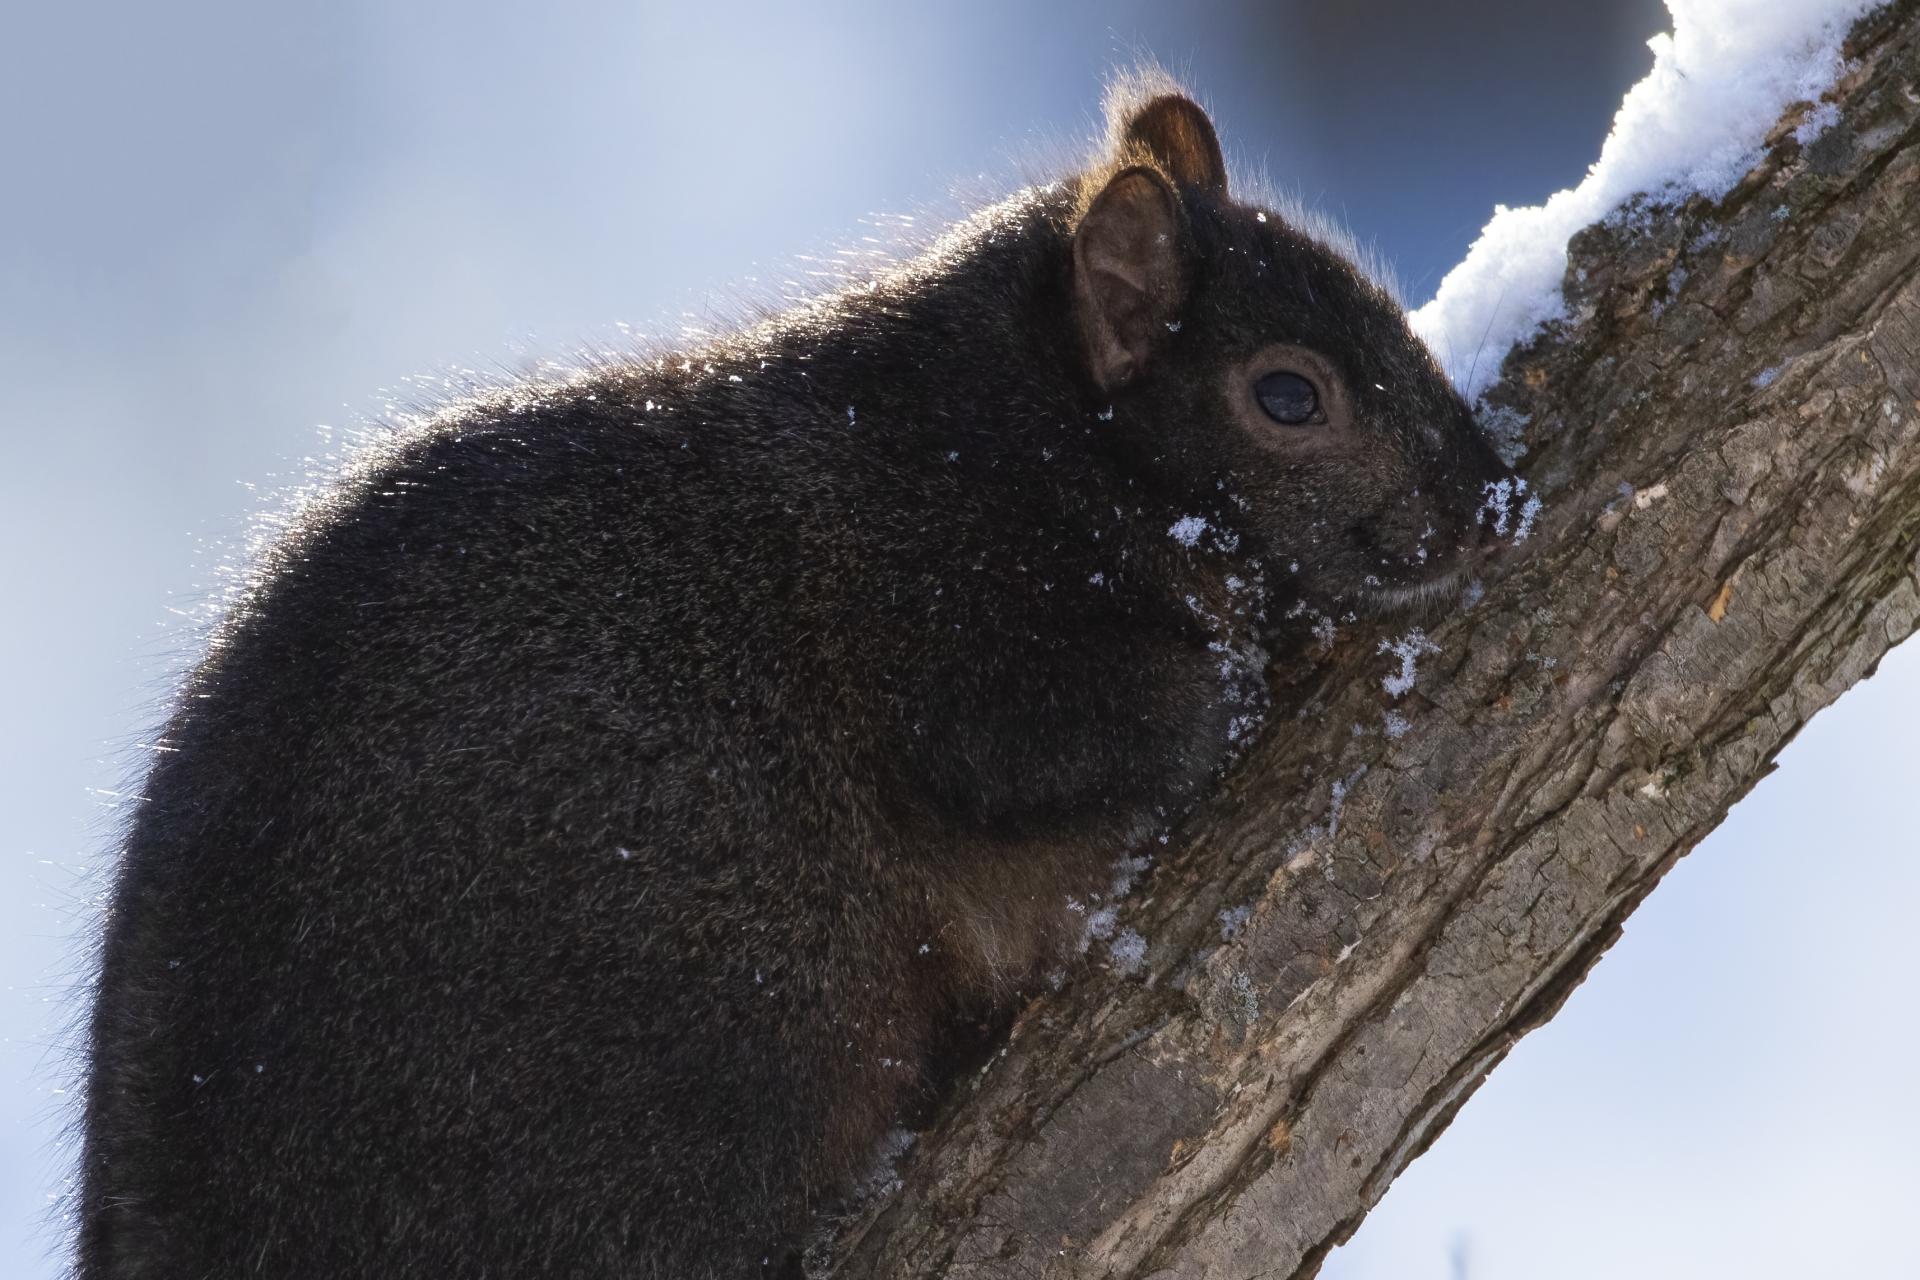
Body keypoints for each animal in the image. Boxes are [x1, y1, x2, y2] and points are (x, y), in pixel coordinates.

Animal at [78, 74, 1512, 1279]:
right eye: (1289, 396)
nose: (1482, 500)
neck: (1021, 435)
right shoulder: (956, 630)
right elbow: (1101, 732)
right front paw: (1260, 649)